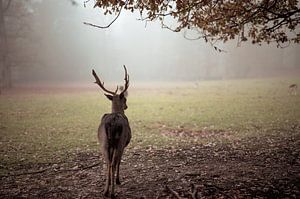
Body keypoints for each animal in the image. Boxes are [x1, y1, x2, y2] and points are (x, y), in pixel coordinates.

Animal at [92, 65, 132, 197]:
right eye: (125, 99)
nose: (126, 106)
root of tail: (113, 122)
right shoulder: (124, 144)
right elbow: (119, 161)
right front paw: (118, 180)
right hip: (120, 141)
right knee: (114, 163)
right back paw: (113, 192)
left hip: (104, 142)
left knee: (108, 162)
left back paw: (105, 191)